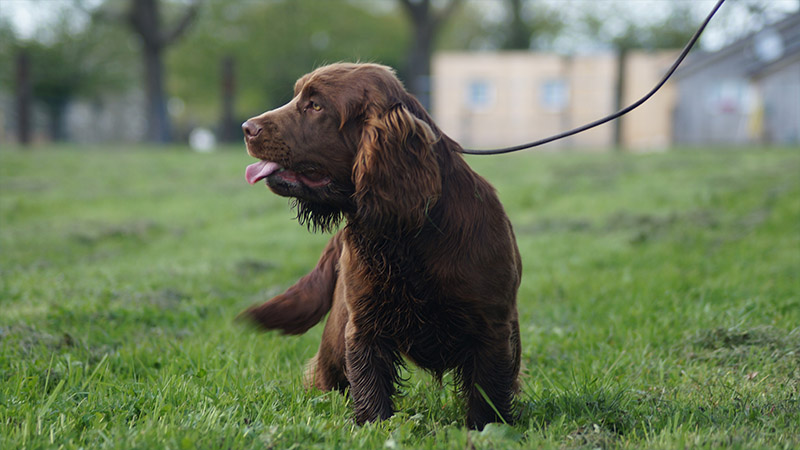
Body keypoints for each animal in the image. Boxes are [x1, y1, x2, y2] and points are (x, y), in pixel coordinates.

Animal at [241, 63, 520, 428]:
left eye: (315, 105)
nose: (246, 128)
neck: (405, 236)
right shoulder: (364, 327)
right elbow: (371, 390)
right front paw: (374, 428)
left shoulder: (493, 328)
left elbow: (487, 398)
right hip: (335, 341)